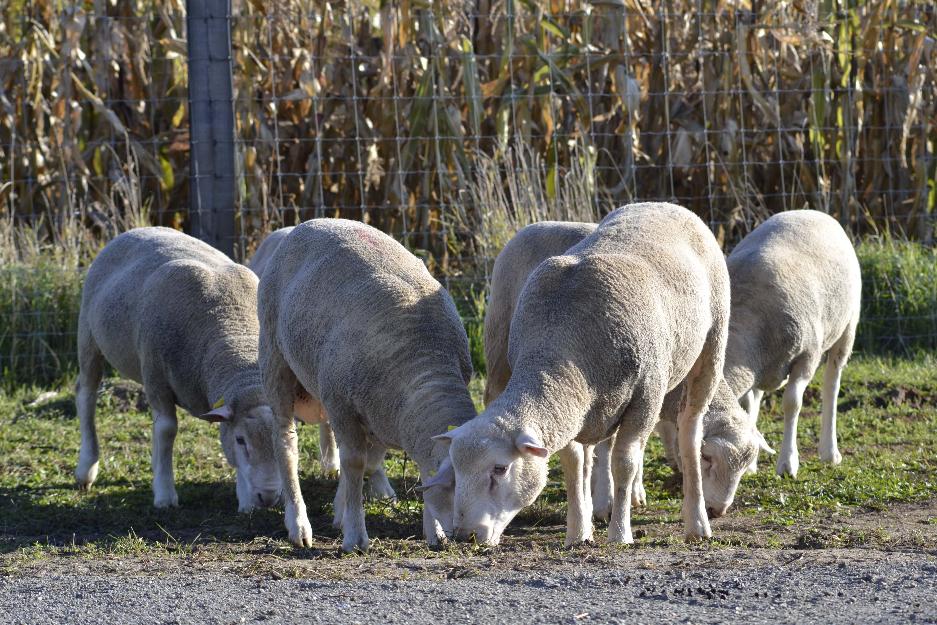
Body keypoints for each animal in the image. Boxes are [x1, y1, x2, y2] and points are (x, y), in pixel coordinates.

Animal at [75, 227, 280, 510]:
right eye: (241, 440)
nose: (268, 497)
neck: (231, 326)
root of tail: (141, 229)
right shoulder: (156, 377)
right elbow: (166, 429)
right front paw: (164, 495)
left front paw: (246, 500)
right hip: (88, 333)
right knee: (86, 395)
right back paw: (86, 468)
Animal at [440, 202, 732, 544]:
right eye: (456, 471)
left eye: (500, 469)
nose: (464, 535)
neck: (562, 339)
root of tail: (665, 205)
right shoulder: (570, 406)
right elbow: (573, 463)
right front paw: (578, 533)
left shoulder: (646, 397)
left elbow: (624, 462)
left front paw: (620, 534)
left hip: (712, 345)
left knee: (690, 432)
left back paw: (697, 522)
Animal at [720, 210, 860, 478]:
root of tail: (812, 211)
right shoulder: (754, 362)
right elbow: (748, 406)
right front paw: (750, 463)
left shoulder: (807, 357)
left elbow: (792, 403)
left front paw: (787, 463)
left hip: (847, 327)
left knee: (832, 384)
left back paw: (829, 452)